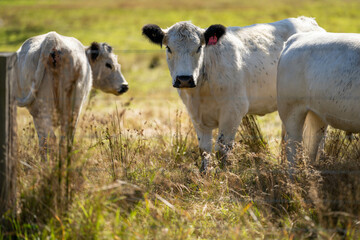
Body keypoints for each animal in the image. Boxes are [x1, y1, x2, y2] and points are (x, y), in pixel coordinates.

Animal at [143, 17, 326, 172]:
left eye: (199, 48)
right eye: (169, 48)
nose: (184, 79)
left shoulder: (233, 112)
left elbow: (222, 150)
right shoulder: (196, 116)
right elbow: (204, 150)